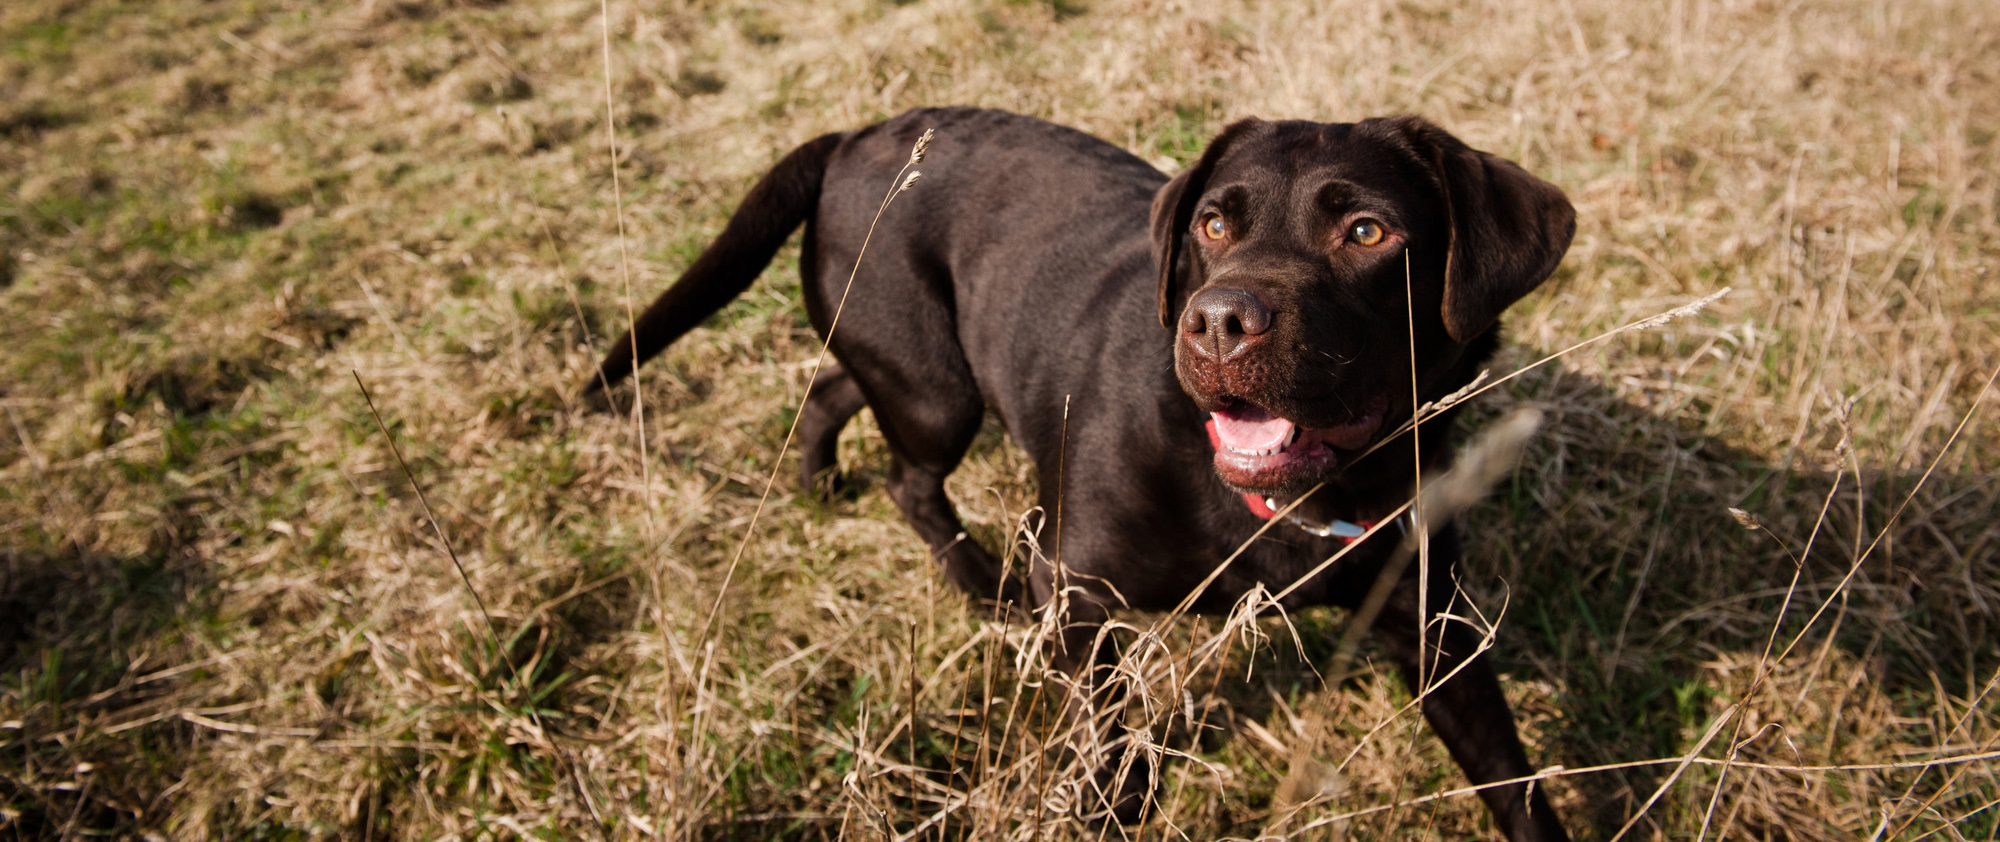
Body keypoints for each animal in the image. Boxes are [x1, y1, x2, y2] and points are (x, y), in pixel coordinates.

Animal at [592, 108, 1576, 836]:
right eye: (1214, 223)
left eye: (1367, 231)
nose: (1219, 321)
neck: (1286, 503)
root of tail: (853, 135)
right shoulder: (1072, 586)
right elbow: (1104, 728)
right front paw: (1115, 799)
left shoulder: (1436, 625)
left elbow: (1512, 780)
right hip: (936, 389)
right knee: (908, 476)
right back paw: (982, 589)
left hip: (909, 371)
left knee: (834, 389)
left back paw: (818, 478)